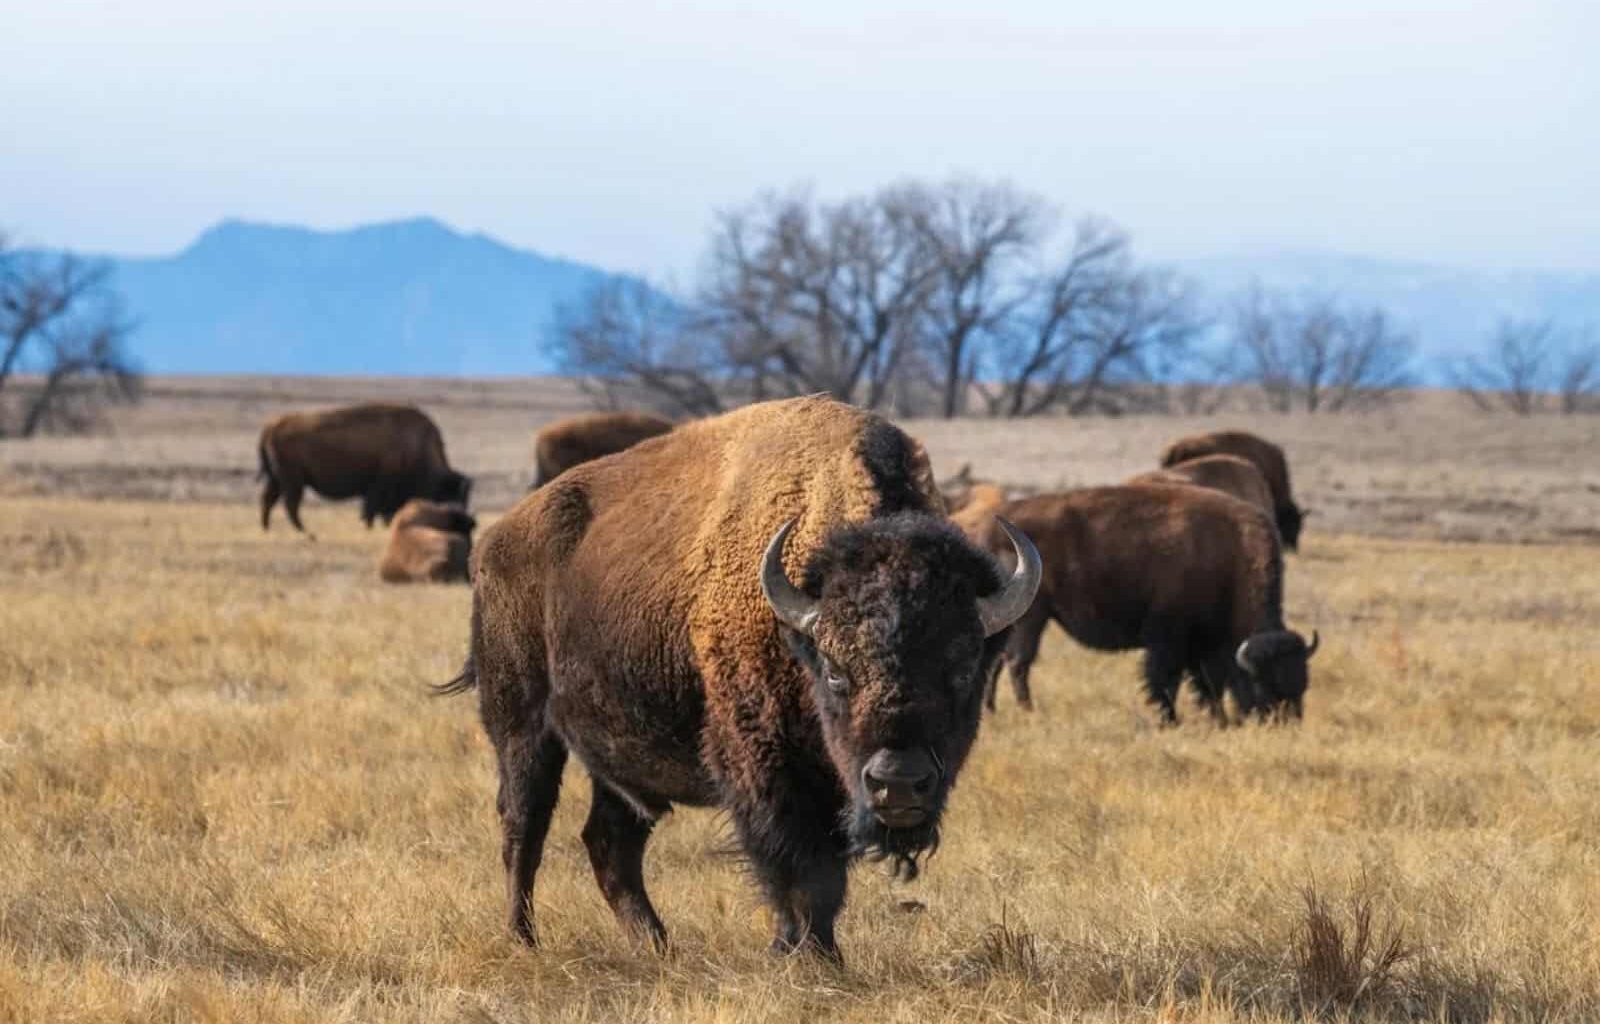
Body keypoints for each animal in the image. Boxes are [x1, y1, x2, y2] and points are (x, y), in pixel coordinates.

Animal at [258, 403, 470, 534]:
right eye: (455, 496)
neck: (416, 444)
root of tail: (272, 426)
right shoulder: (379, 485)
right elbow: (371, 509)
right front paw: (370, 526)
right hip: (293, 481)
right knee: (290, 504)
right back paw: (305, 531)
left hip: (278, 479)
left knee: (269, 500)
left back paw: (268, 529)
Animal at [969, 483, 1318, 722]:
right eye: (1263, 684)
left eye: (1303, 683)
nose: (1284, 722)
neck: (1229, 558)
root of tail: (987, 528)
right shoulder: (1169, 639)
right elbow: (1165, 679)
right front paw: (1170, 720)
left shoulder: (1204, 645)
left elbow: (1208, 683)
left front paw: (1216, 719)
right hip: (1032, 615)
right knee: (1018, 663)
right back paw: (1027, 710)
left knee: (999, 663)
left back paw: (992, 709)